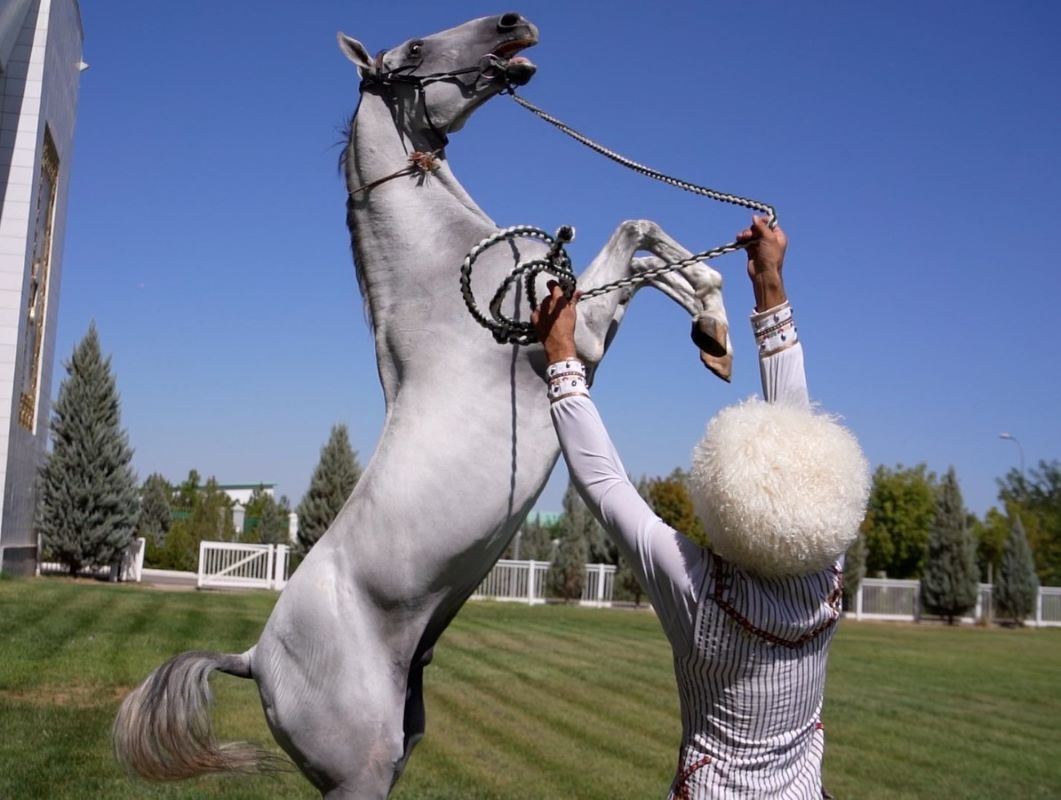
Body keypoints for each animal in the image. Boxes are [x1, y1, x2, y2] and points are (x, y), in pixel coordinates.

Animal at [111, 14, 734, 797]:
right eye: (409, 50)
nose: (513, 24)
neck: (445, 284)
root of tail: (253, 658)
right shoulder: (578, 340)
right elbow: (636, 233)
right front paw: (715, 318)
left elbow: (650, 252)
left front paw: (714, 334)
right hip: (361, 775)